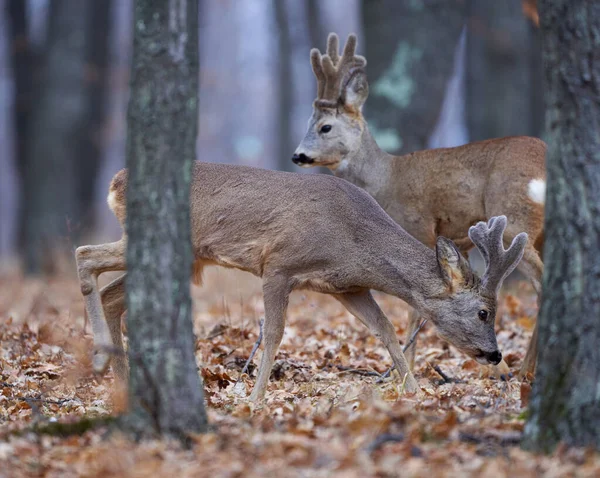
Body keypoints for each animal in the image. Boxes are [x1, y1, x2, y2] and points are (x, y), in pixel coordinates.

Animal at [77, 162, 528, 402]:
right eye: (483, 311)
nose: (494, 355)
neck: (353, 238)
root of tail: (116, 182)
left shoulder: (348, 287)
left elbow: (385, 330)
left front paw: (414, 390)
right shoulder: (278, 265)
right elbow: (275, 333)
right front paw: (255, 397)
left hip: (184, 258)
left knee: (111, 294)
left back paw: (122, 383)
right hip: (166, 244)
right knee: (85, 257)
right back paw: (101, 360)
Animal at [292, 33, 548, 380]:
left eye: (325, 127)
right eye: (310, 122)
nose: (297, 155)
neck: (384, 180)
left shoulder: (418, 228)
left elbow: (415, 304)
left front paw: (408, 367)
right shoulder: (458, 242)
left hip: (516, 221)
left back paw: (525, 371)